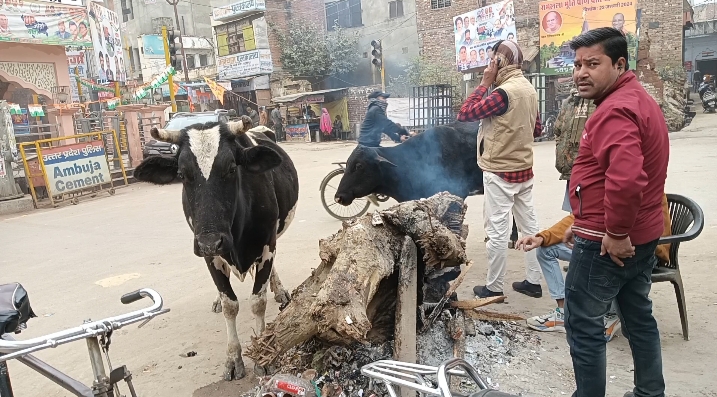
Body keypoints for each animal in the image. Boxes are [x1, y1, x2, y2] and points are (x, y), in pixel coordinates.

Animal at [133, 117, 298, 378]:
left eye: (231, 168)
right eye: (181, 173)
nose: (211, 241)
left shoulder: (266, 245)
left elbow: (257, 301)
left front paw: (263, 354)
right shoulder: (209, 255)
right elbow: (230, 304)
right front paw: (233, 358)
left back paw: (279, 289)